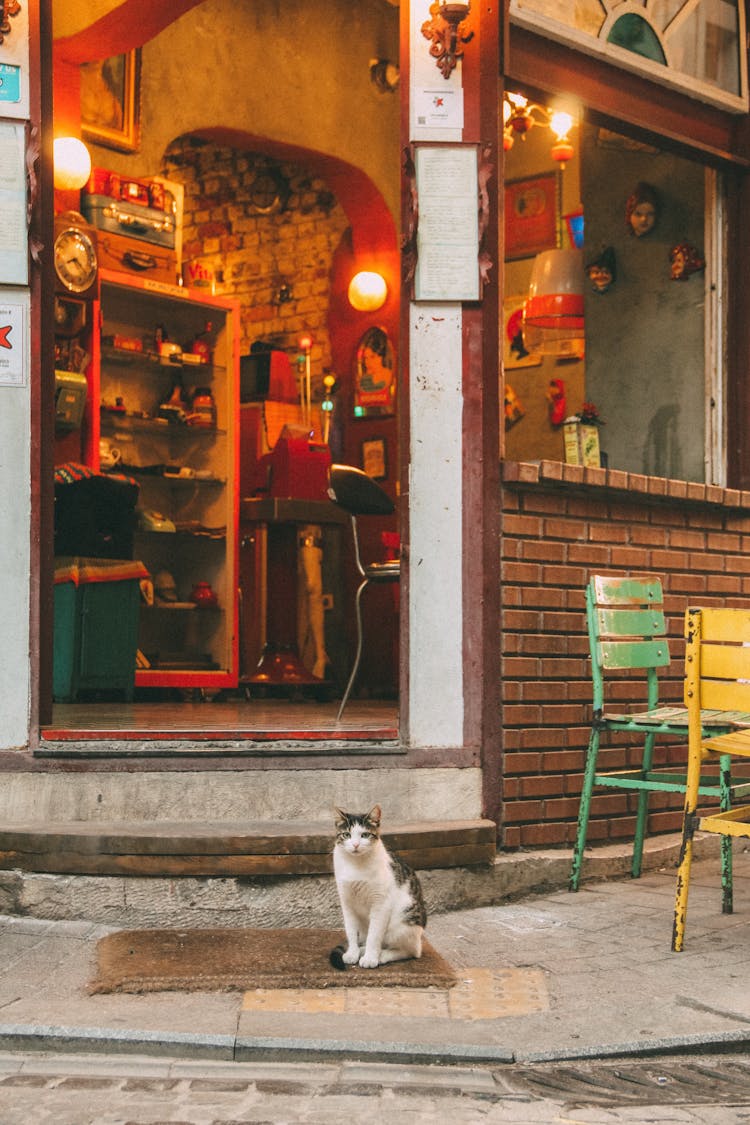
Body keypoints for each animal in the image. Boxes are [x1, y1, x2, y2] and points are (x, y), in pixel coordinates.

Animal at [330, 805, 427, 972]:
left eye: (365, 835)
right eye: (347, 834)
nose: (355, 844)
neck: (356, 864)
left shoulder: (381, 903)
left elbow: (374, 935)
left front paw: (370, 958)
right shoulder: (347, 902)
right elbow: (351, 930)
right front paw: (352, 953)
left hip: (402, 922)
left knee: (412, 951)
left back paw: (382, 955)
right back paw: (361, 950)